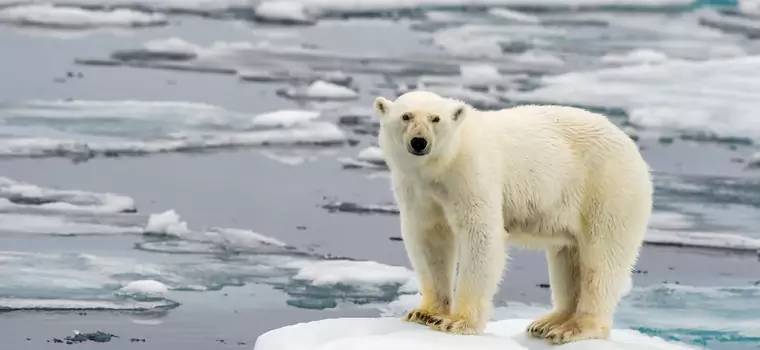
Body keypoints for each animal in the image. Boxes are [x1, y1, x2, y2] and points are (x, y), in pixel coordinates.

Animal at [374, 90, 652, 344]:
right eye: (406, 116)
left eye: (435, 118)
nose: (419, 142)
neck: (442, 166)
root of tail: (632, 148)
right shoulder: (418, 190)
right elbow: (429, 239)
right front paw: (425, 313)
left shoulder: (471, 174)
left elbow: (481, 235)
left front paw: (457, 322)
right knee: (569, 257)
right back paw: (548, 323)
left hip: (607, 188)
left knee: (601, 258)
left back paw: (574, 328)